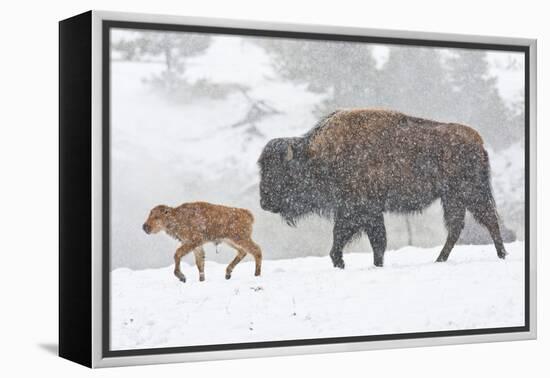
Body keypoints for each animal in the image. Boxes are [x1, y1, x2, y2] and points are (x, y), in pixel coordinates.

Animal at [258, 109, 508, 268]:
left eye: (279, 172)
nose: (264, 202)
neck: (318, 155)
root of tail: (478, 141)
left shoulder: (358, 210)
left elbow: (358, 239)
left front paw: (343, 262)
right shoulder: (365, 212)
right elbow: (374, 241)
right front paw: (368, 264)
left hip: (470, 192)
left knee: (488, 220)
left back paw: (501, 255)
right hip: (453, 197)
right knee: (458, 227)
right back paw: (440, 260)